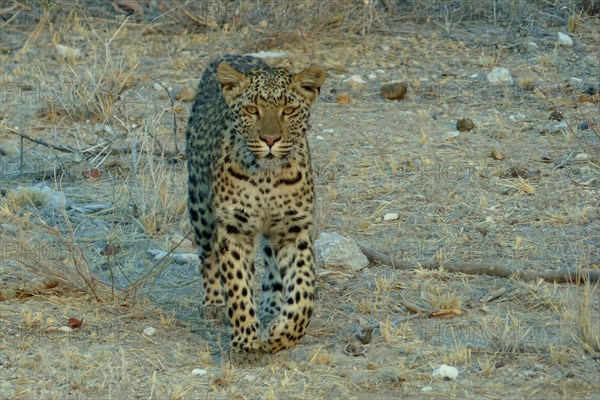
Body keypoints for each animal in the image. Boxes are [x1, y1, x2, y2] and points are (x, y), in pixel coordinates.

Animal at [186, 55, 326, 354]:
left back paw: (272, 308)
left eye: (288, 109)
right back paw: (214, 303)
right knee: (207, 255)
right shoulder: (233, 228)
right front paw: (246, 345)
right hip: (199, 203)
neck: (267, 178)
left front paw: (278, 334)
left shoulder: (293, 228)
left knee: (271, 264)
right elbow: (238, 287)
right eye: (252, 109)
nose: (270, 140)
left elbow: (303, 291)